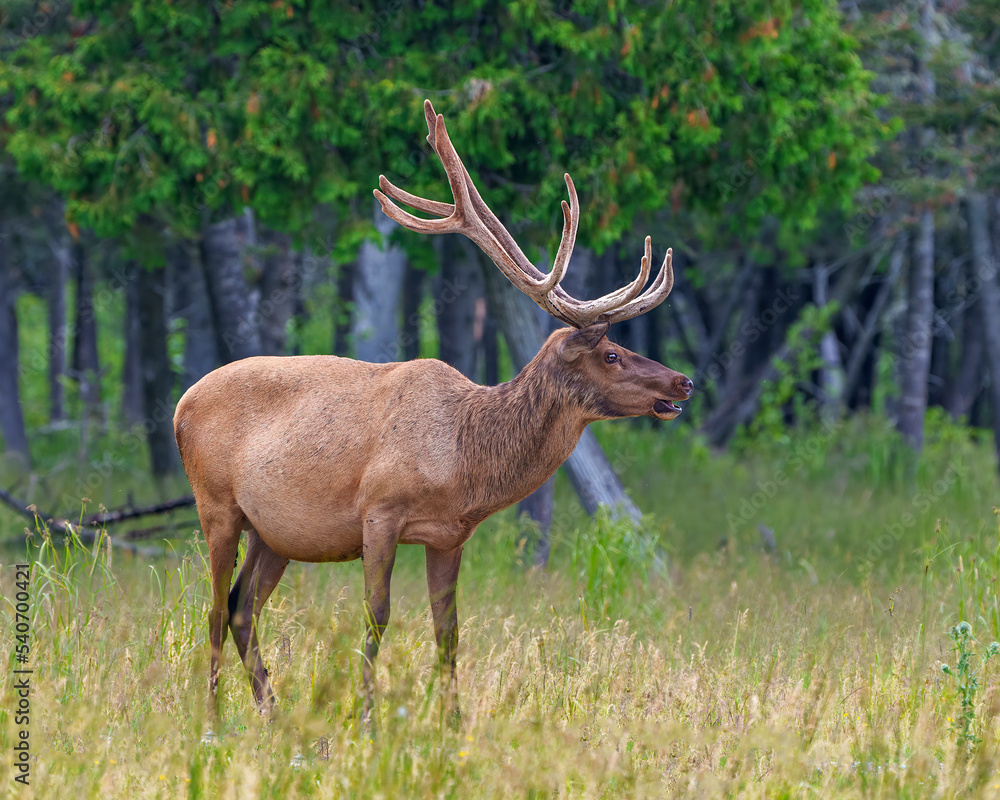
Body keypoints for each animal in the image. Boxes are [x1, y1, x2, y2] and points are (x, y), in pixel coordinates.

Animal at [174, 101, 696, 724]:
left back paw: (272, 713)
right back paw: (212, 721)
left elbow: (448, 630)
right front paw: (367, 717)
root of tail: (179, 405)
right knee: (211, 609)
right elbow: (377, 614)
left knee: (241, 606)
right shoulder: (379, 510)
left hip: (273, 532)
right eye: (612, 354)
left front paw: (452, 722)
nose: (684, 380)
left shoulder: (449, 535)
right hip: (216, 505)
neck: (464, 460)